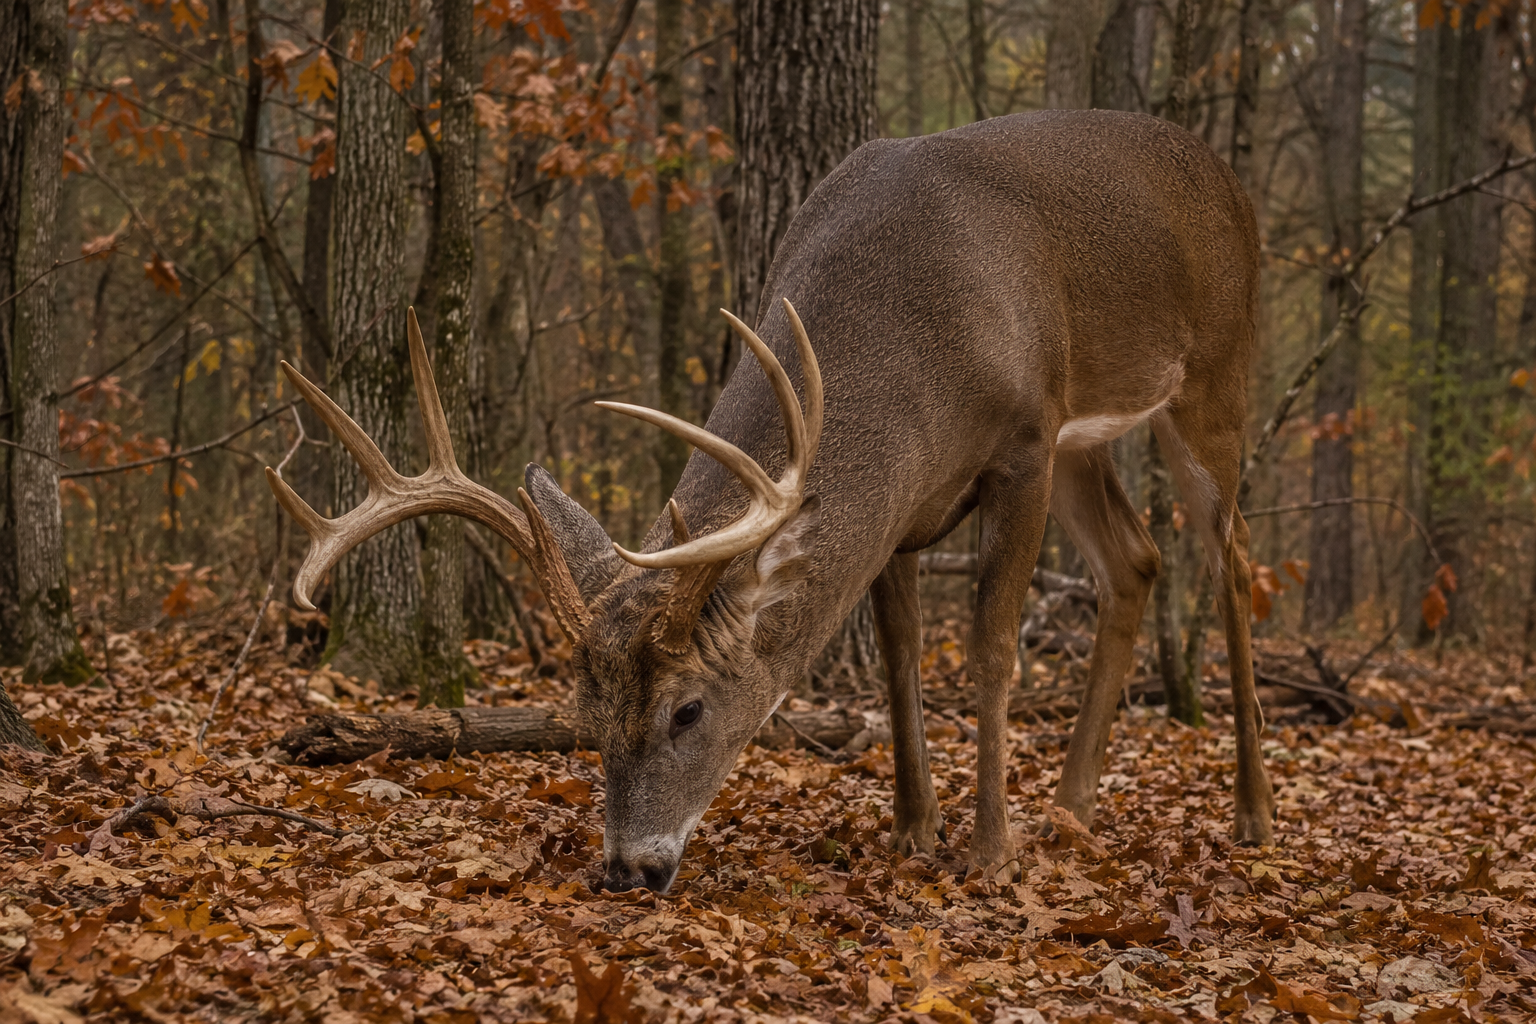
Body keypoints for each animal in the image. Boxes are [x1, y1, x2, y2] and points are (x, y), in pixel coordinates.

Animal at [268, 109, 1276, 894]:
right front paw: (914, 831)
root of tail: (1227, 175)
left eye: (687, 711)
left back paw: (1252, 813)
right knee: (1138, 559)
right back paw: (1072, 808)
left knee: (1230, 557)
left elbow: (992, 650)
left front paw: (990, 853)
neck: (921, 336)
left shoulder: (1024, 443)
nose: (629, 869)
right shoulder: (907, 506)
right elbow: (899, 658)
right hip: (1088, 441)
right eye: (588, 711)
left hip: (1214, 378)